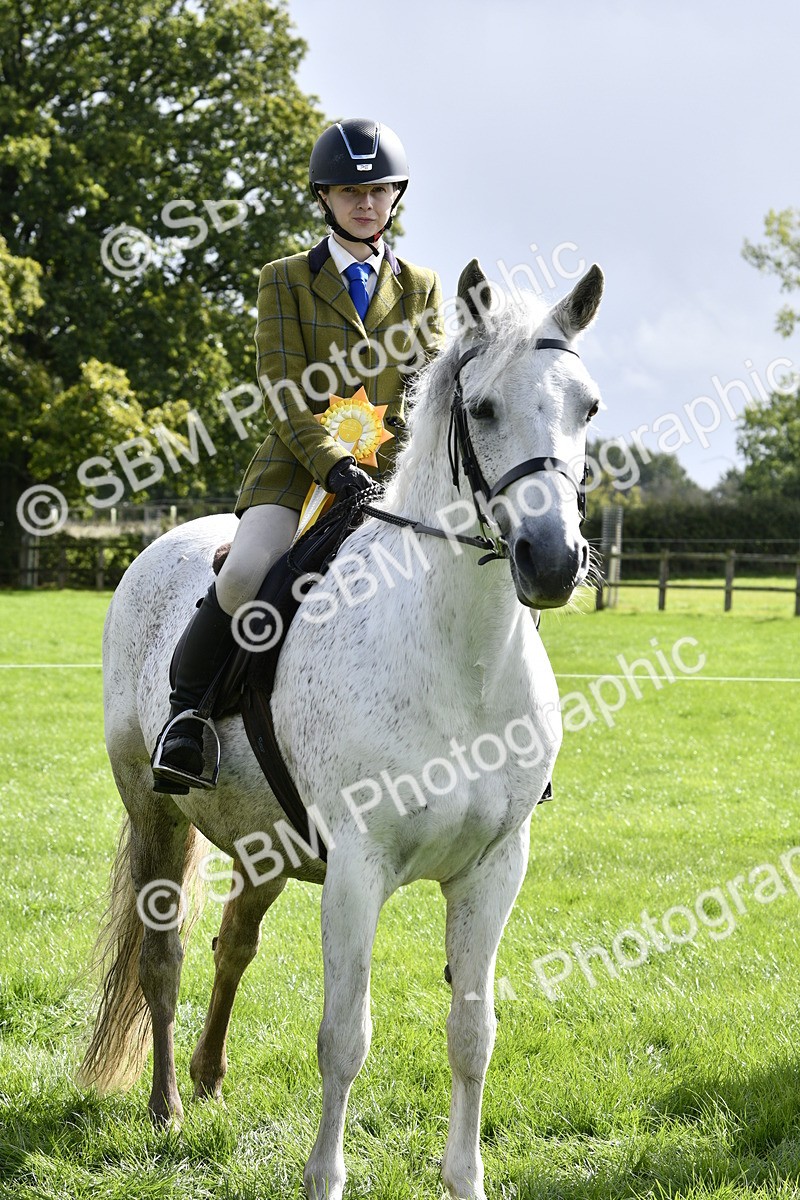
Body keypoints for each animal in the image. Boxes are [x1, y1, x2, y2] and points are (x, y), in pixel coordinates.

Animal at [78, 258, 604, 1200]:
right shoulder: (359, 870)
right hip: (156, 813)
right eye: (482, 410)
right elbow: (343, 1038)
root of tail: (164, 542)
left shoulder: (493, 869)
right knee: (162, 961)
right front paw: (325, 1177)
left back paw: (209, 1080)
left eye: (588, 408)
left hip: (265, 842)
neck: (458, 655)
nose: (552, 560)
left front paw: (465, 1180)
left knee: (233, 944)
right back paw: (167, 1106)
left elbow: (473, 1035)